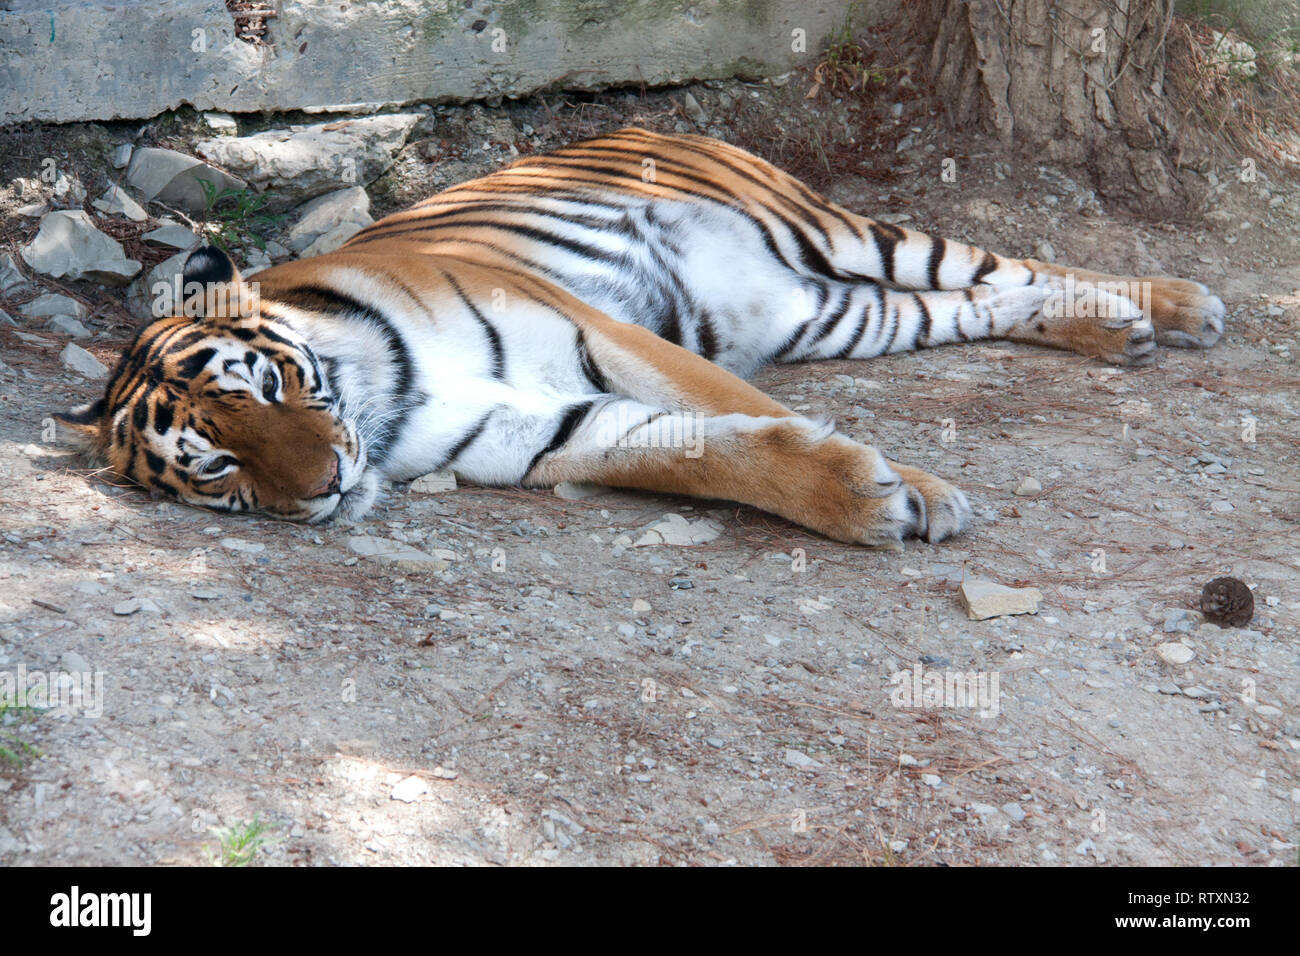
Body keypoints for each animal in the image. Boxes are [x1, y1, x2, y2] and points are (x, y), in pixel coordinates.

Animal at [53, 128, 1227, 546]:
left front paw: (923, 493)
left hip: (846, 235)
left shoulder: (605, 333)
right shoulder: (538, 430)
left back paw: (1176, 305)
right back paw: (1122, 333)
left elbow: (738, 407)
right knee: (984, 303)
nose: (326, 486)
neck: (381, 410)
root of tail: (649, 118)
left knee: (1001, 265)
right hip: (842, 313)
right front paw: (868, 501)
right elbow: (701, 455)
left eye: (261, 388)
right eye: (219, 468)